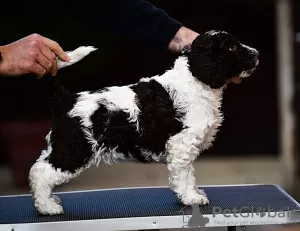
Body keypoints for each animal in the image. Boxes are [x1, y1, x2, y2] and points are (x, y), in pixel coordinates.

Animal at [29, 30, 260, 215]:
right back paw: (47, 207)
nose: (257, 54)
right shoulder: (181, 145)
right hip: (74, 148)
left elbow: (189, 175)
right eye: (231, 47)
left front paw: (194, 193)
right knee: (40, 172)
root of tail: (68, 99)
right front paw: (191, 198)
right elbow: (184, 176)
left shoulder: (184, 148)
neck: (197, 81)